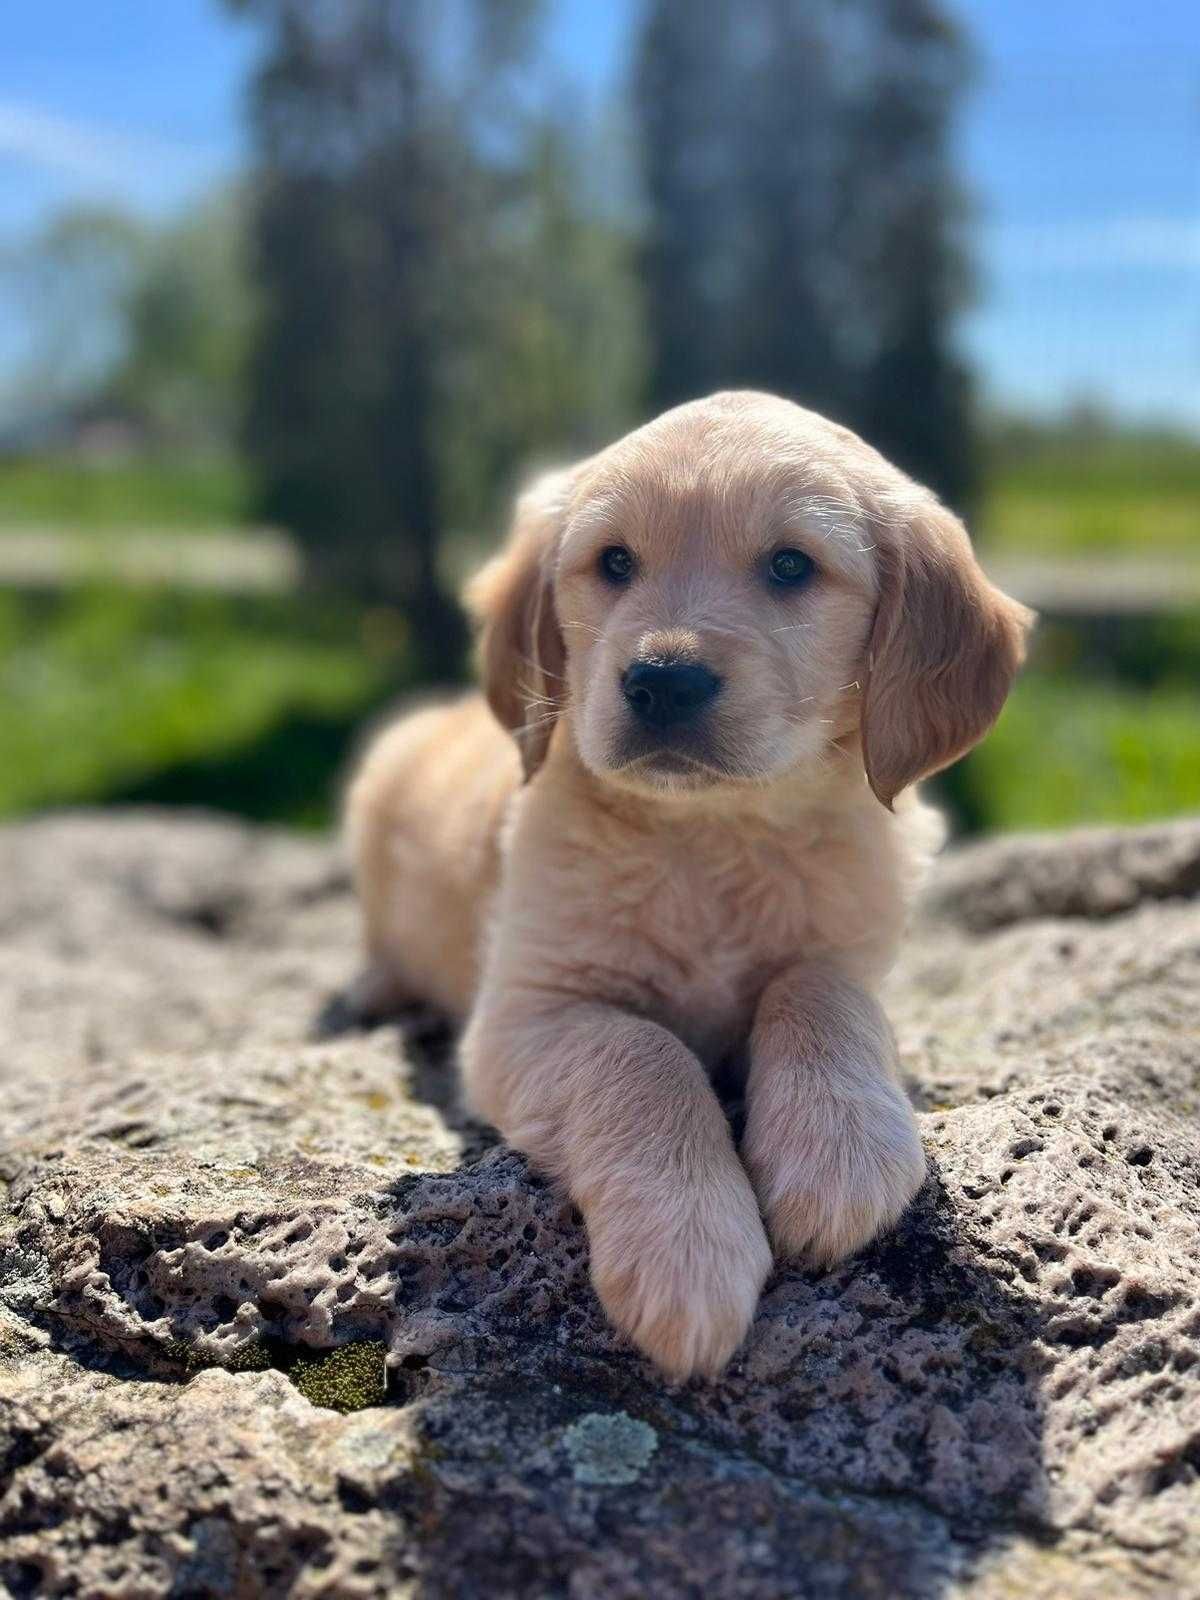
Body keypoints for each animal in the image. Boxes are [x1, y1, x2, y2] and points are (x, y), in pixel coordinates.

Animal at [347, 387, 1036, 1376]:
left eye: (790, 566)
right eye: (614, 562)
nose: (661, 681)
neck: (714, 835)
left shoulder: (852, 952)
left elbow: (816, 990)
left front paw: (838, 1149)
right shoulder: (527, 1008)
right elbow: (642, 1054)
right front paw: (689, 1246)